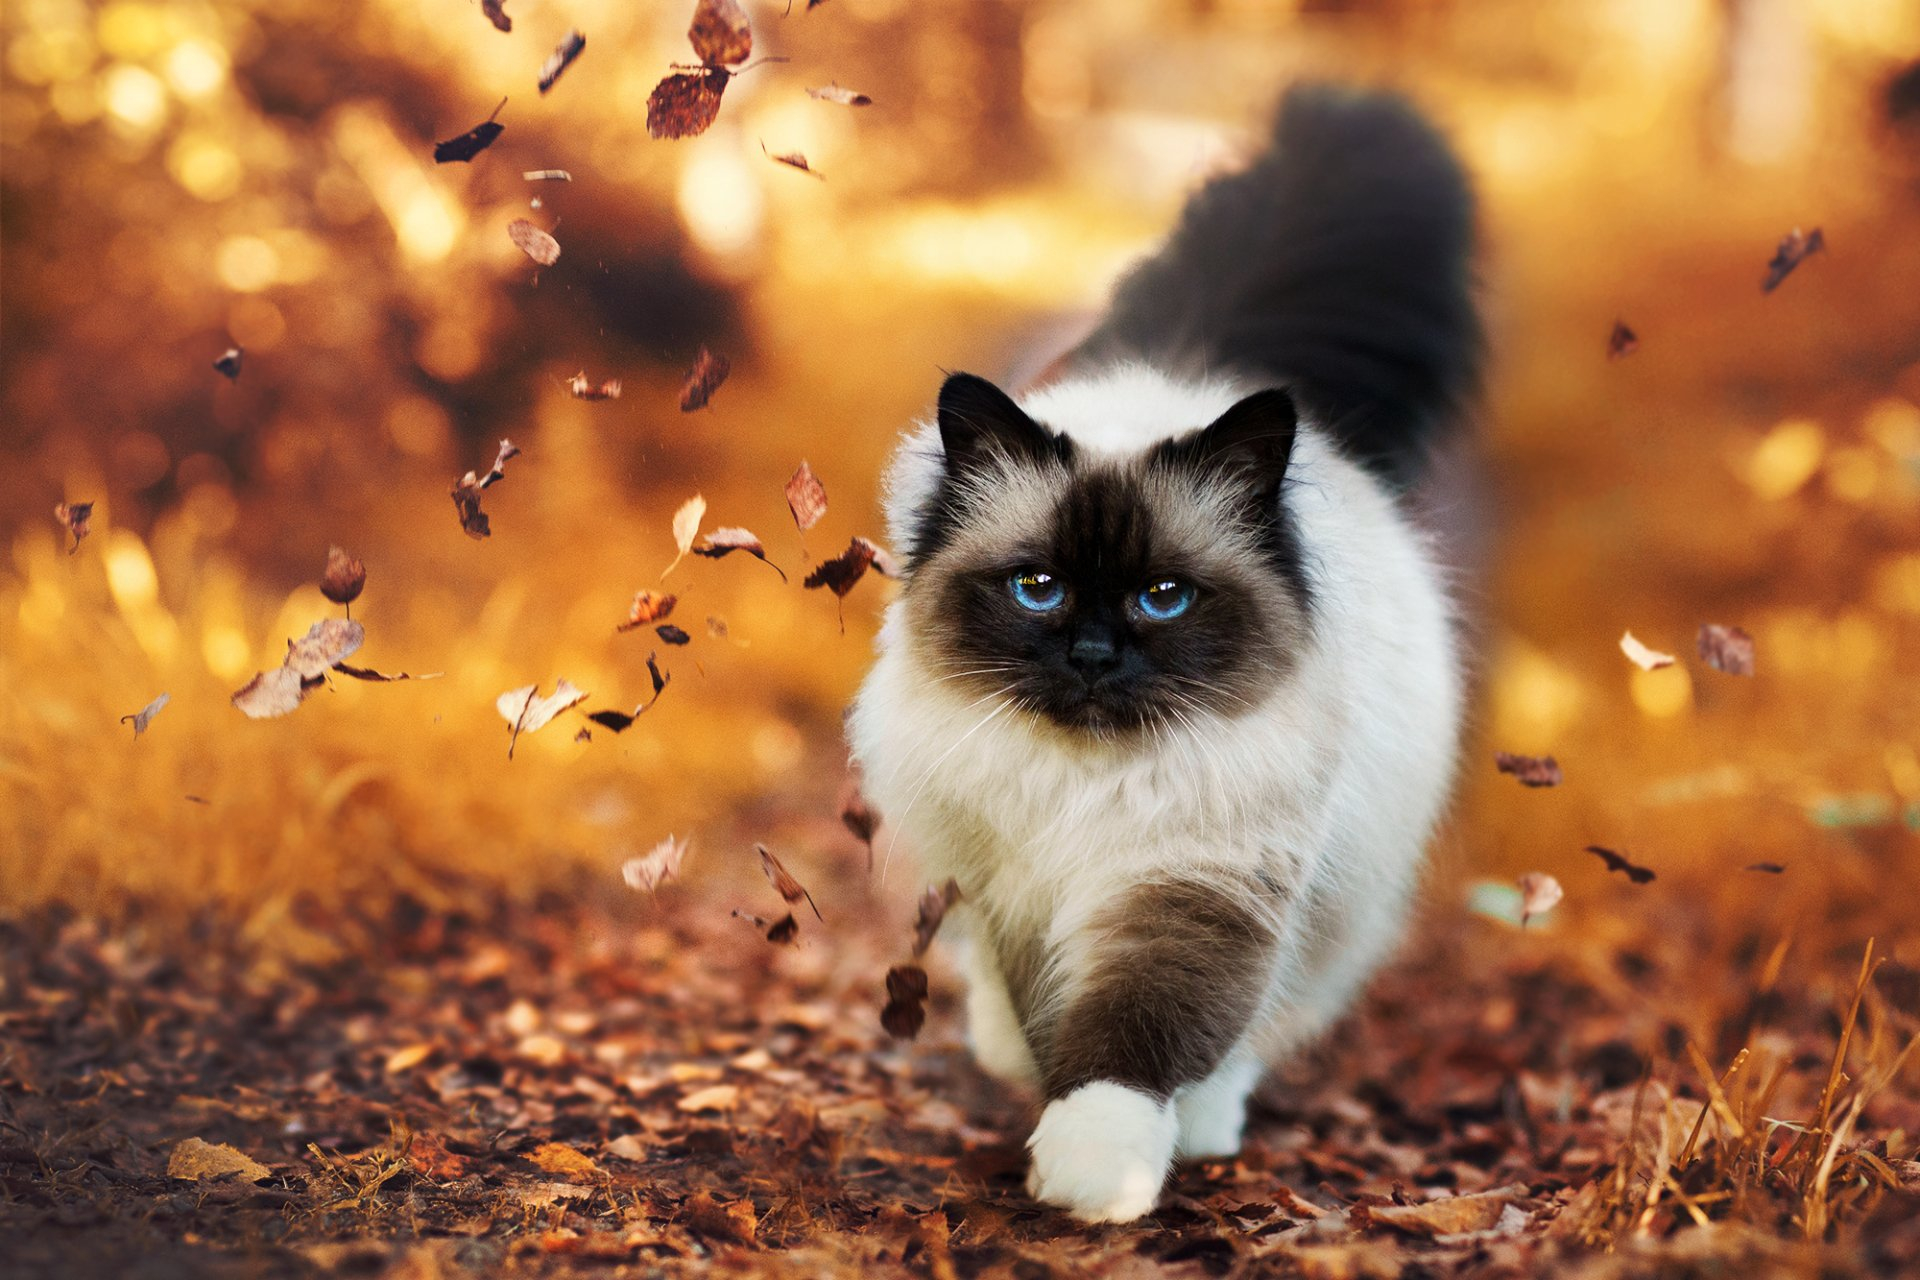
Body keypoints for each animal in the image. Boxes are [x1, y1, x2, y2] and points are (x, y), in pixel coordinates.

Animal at [844, 84, 1482, 1228]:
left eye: (1162, 597)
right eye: (1039, 588)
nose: (1095, 655)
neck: (1088, 787)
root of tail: (1193, 369)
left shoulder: (1195, 884)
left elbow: (1134, 1043)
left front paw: (1098, 1176)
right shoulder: (1018, 893)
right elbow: (1049, 1026)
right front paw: (1054, 1129)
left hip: (1335, 901)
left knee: (1257, 1032)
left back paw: (1207, 1127)